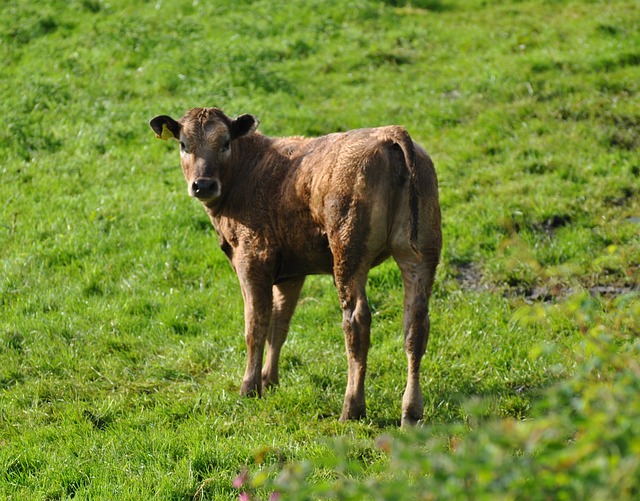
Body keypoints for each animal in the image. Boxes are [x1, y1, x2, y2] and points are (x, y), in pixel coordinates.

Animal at [149, 107, 440, 424]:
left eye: (225, 142)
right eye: (183, 144)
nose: (203, 184)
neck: (248, 171)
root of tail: (389, 133)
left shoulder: (252, 259)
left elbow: (256, 326)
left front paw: (249, 388)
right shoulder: (292, 271)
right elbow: (280, 325)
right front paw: (269, 380)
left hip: (348, 252)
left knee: (357, 320)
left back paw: (352, 408)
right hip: (421, 252)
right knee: (416, 324)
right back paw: (411, 412)